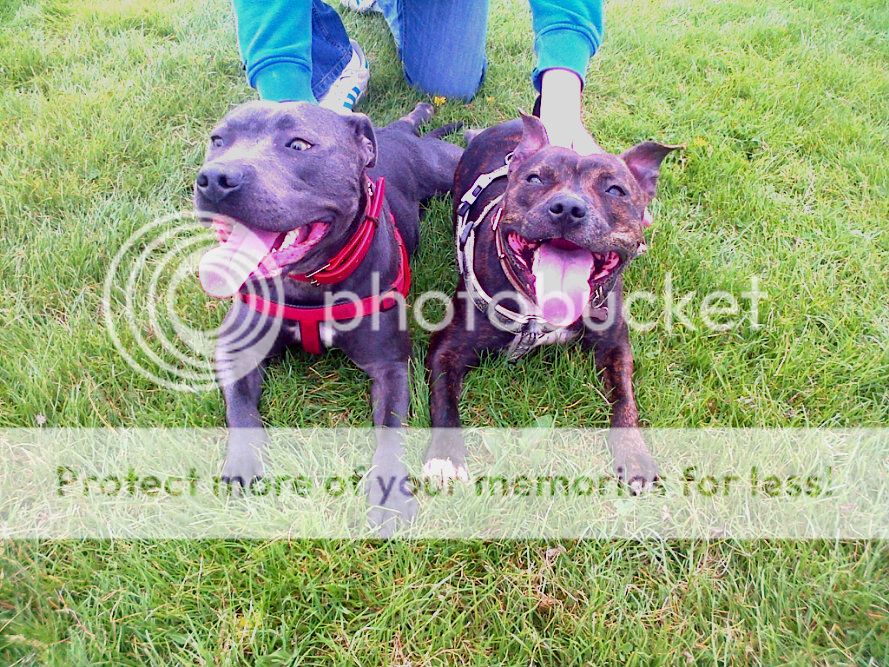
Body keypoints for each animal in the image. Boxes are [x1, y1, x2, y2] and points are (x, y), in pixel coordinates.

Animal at [426, 115, 676, 490]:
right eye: (535, 178)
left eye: (615, 190)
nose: (569, 208)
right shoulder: (447, 349)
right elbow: (444, 401)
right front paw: (445, 459)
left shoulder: (616, 346)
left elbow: (625, 398)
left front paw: (634, 454)